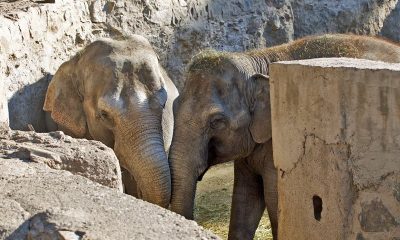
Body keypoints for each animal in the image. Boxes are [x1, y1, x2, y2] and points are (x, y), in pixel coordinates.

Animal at [168, 33, 400, 240]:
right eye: (174, 106)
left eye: (216, 121)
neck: (256, 60)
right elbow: (245, 197)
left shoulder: (278, 144)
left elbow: (274, 199)